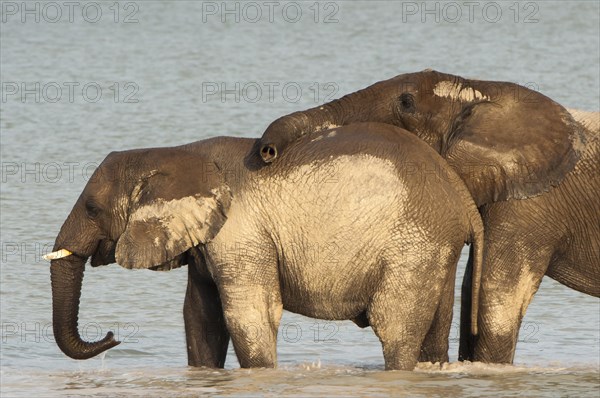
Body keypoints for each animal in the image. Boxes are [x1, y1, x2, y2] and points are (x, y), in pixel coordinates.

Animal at [44, 123, 486, 372]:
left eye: (92, 208)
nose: (113, 335)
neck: (175, 152)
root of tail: (461, 195)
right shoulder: (209, 240)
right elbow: (200, 317)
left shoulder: (241, 233)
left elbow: (249, 315)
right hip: (434, 246)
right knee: (433, 330)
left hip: (414, 242)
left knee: (394, 327)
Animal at [254, 69, 600, 364]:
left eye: (406, 103)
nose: (267, 152)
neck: (484, 90)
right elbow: (466, 295)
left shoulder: (528, 204)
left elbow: (494, 305)